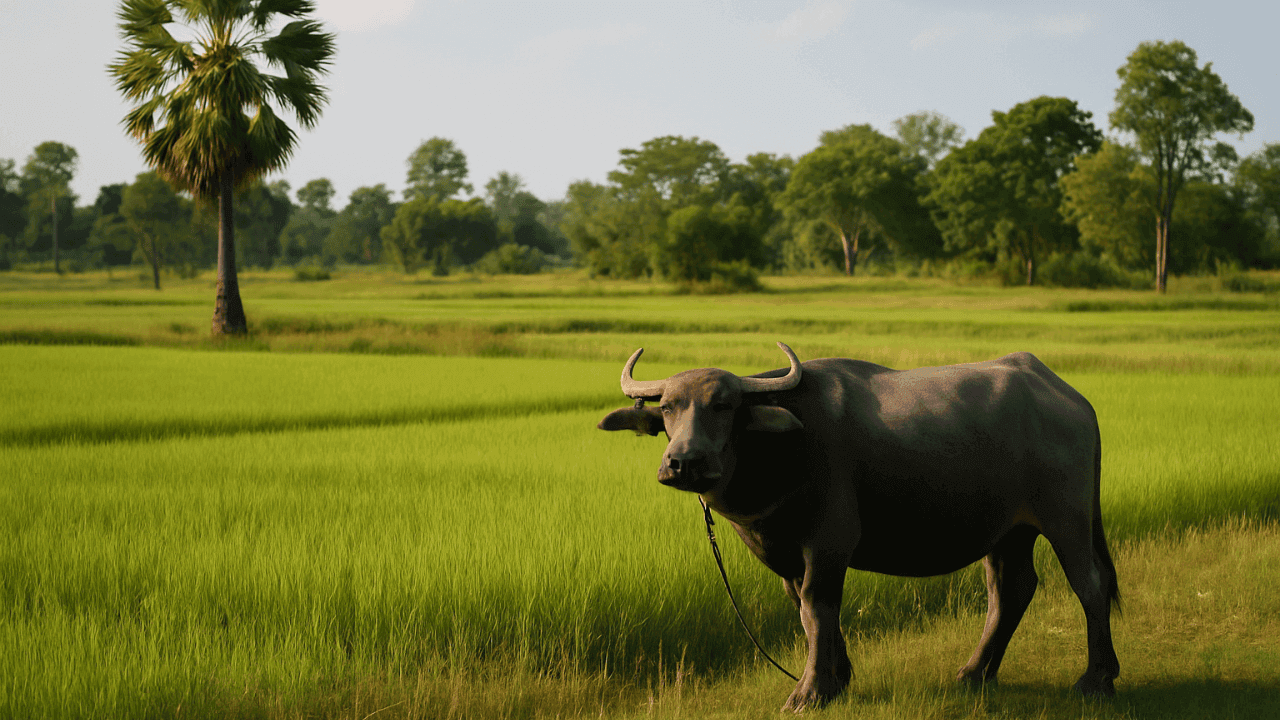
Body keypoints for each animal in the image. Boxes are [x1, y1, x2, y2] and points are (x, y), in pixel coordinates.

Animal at [598, 343, 1120, 712]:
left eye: (724, 406)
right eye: (668, 408)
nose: (684, 463)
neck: (782, 451)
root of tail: (1069, 396)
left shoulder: (829, 542)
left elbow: (818, 606)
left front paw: (808, 692)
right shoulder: (789, 553)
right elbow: (806, 610)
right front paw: (836, 679)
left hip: (1067, 520)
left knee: (1089, 585)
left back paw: (1096, 679)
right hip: (1008, 531)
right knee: (1011, 590)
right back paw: (974, 673)